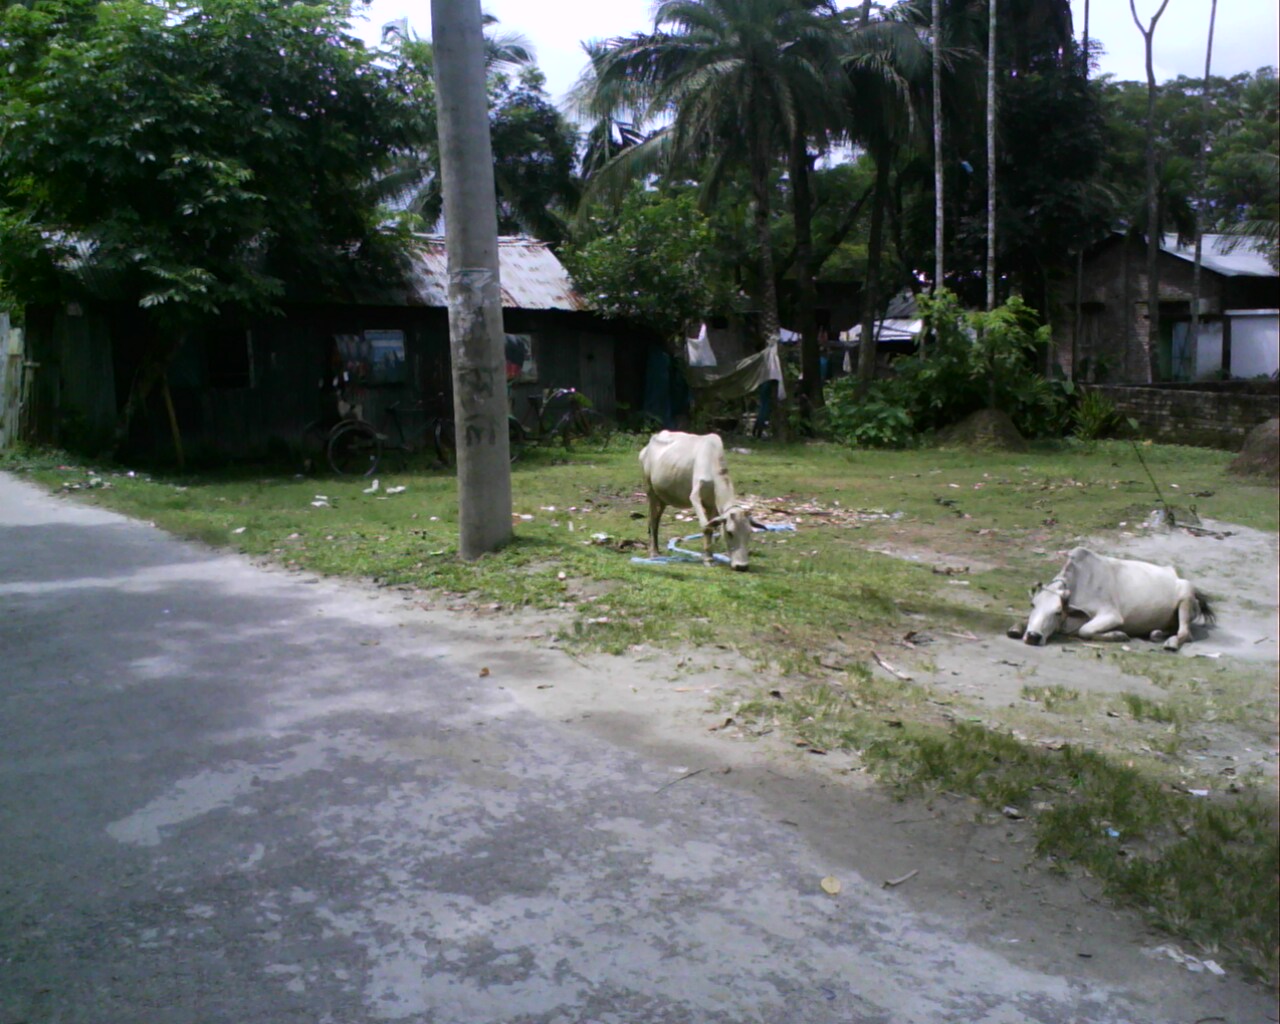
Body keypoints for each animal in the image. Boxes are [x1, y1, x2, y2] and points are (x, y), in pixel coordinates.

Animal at [640, 430, 747, 568]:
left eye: (749, 533)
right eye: (729, 532)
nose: (742, 566)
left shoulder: (712, 504)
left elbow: (711, 527)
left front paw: (709, 556)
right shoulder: (695, 496)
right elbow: (706, 527)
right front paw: (708, 559)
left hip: (662, 495)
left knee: (656, 519)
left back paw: (657, 549)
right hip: (650, 490)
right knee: (652, 519)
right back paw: (653, 553)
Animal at [1008, 547, 1208, 652]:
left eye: (1058, 612)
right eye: (1033, 605)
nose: (1033, 636)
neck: (1078, 584)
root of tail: (1174, 574)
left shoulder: (1111, 615)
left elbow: (1085, 630)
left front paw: (1118, 635)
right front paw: (1016, 628)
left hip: (1186, 597)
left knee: (1185, 633)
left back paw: (1171, 643)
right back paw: (1157, 634)